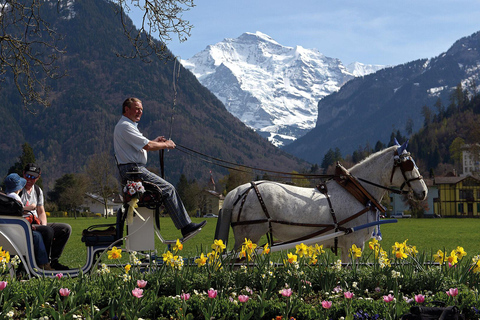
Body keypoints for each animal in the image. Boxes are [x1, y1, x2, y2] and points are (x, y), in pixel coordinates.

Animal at [214, 141, 428, 262]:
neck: (357, 192)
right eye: (409, 165)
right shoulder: (355, 243)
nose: (423, 192)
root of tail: (239, 191)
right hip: (249, 237)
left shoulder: (346, 245)